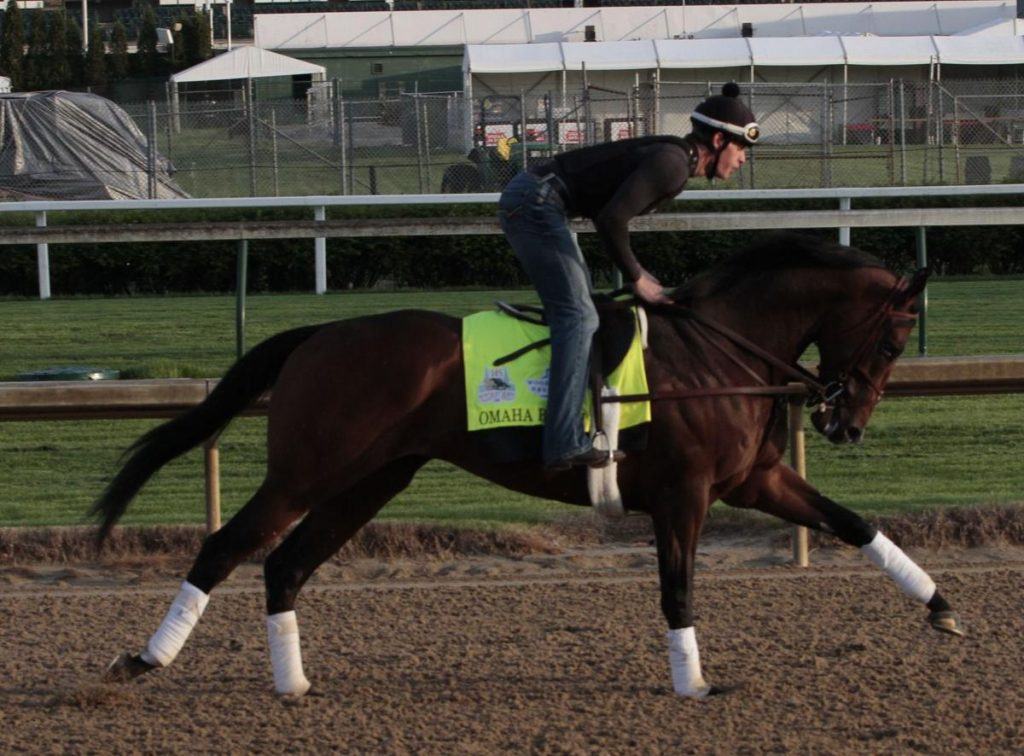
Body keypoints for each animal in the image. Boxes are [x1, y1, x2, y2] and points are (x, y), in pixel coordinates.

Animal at [96, 232, 958, 696]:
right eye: (894, 336)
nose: (844, 422)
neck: (719, 352)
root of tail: (316, 335)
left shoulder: (753, 479)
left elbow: (853, 522)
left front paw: (941, 606)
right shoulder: (683, 495)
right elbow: (677, 590)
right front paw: (694, 682)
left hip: (370, 480)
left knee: (285, 565)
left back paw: (293, 683)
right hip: (306, 472)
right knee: (225, 548)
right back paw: (144, 658)